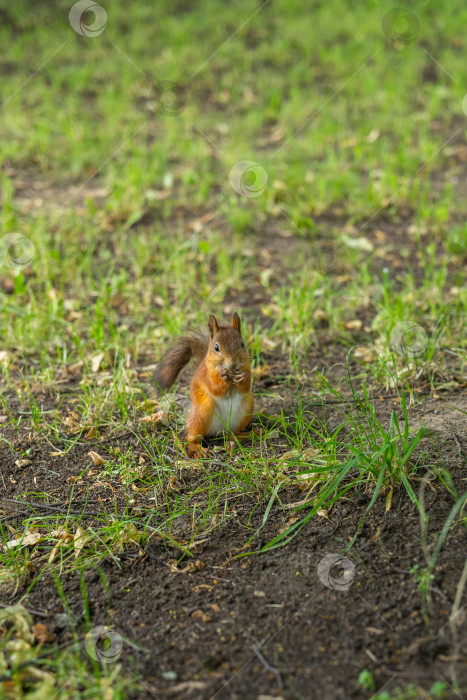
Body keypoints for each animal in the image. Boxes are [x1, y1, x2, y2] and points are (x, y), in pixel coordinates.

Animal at [154, 312, 254, 458]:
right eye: (216, 347)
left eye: (242, 344)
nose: (233, 365)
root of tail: (218, 431)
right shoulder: (206, 374)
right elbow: (215, 388)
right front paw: (223, 377)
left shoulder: (247, 367)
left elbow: (245, 386)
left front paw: (243, 376)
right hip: (202, 409)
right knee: (190, 437)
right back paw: (198, 449)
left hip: (247, 406)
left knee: (231, 435)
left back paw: (246, 435)